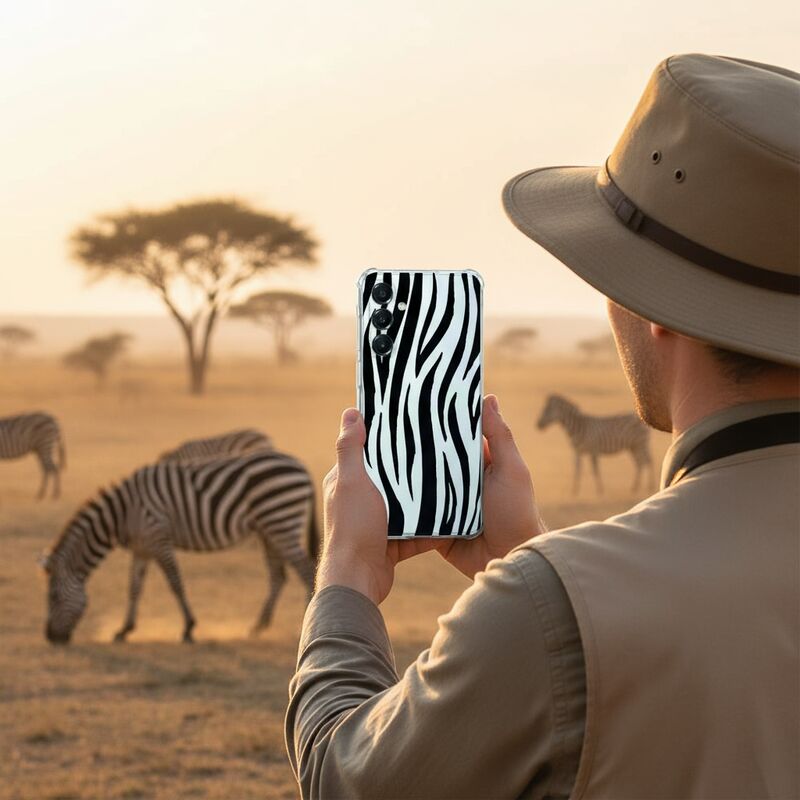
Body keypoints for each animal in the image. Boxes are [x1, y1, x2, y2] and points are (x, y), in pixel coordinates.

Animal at [41, 448, 318, 644]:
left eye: (53, 596)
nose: (51, 638)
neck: (121, 514)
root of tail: (301, 465)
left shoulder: (158, 537)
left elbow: (175, 582)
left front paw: (188, 629)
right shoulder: (142, 547)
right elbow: (134, 588)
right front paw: (124, 630)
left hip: (280, 520)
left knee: (306, 572)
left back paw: (303, 627)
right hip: (269, 530)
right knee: (278, 576)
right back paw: (257, 627)